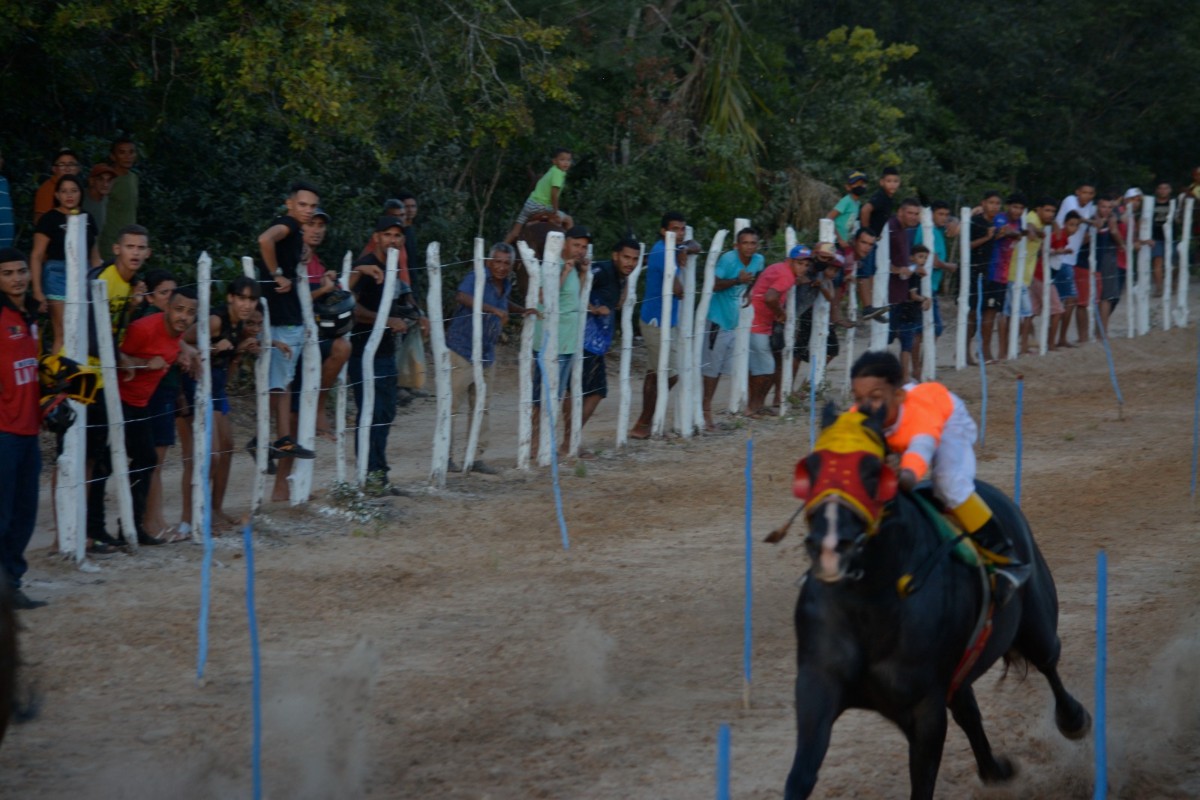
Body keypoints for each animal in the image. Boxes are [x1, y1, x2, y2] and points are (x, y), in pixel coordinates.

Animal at [777, 410, 1089, 796]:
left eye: (872, 471)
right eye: (813, 466)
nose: (830, 547)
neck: (870, 607)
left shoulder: (924, 709)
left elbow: (923, 781)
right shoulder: (817, 686)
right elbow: (801, 776)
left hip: (1036, 622)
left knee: (1048, 660)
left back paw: (1073, 719)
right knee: (967, 707)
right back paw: (993, 769)